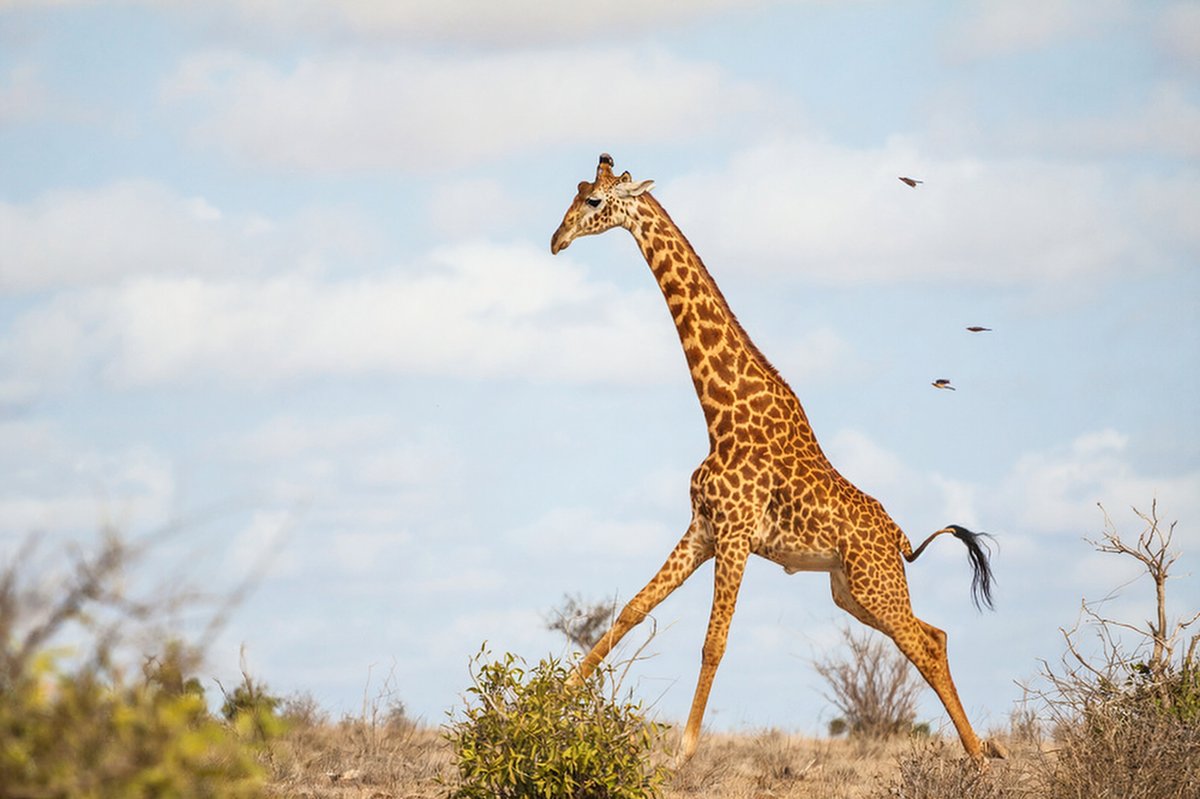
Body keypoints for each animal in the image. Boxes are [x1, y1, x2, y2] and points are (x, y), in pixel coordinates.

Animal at [550, 154, 1004, 763]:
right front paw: (542, 703)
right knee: (934, 635)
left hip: (874, 584)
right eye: (576, 192)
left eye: (594, 201)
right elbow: (632, 609)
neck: (721, 415)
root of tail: (902, 540)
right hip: (848, 591)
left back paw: (980, 758)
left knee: (925, 644)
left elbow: (713, 643)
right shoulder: (703, 529)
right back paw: (983, 751)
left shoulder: (737, 533)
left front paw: (683, 753)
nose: (557, 239)